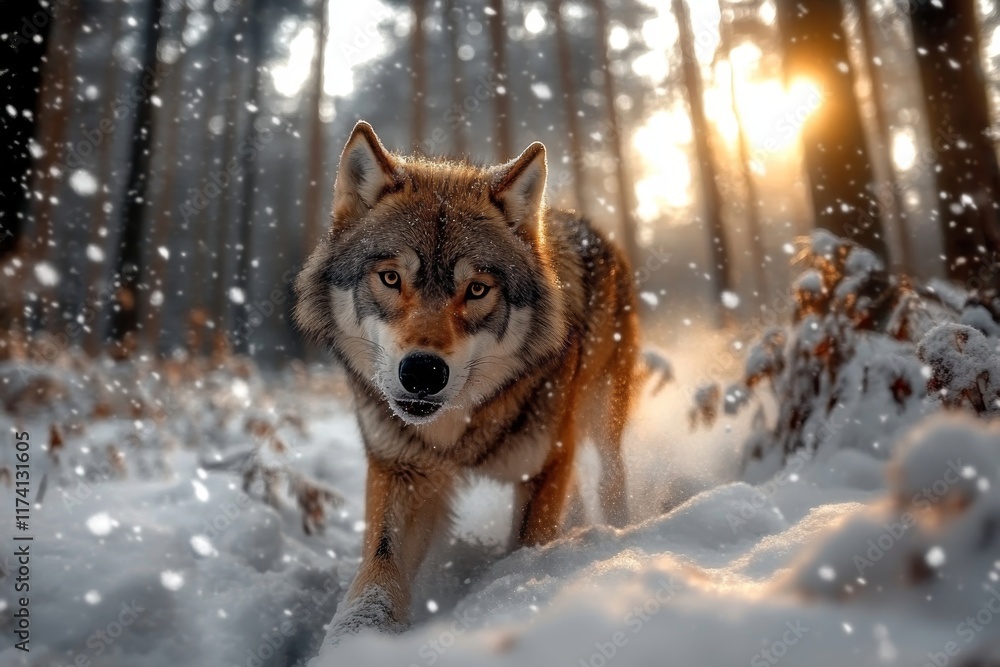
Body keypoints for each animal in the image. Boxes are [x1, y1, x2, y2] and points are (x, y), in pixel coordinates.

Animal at [295, 121, 660, 640]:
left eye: (477, 289)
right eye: (390, 278)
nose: (423, 372)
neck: (458, 432)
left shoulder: (547, 463)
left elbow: (525, 551)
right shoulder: (400, 471)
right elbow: (377, 575)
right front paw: (354, 643)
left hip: (600, 414)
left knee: (612, 476)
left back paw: (617, 529)